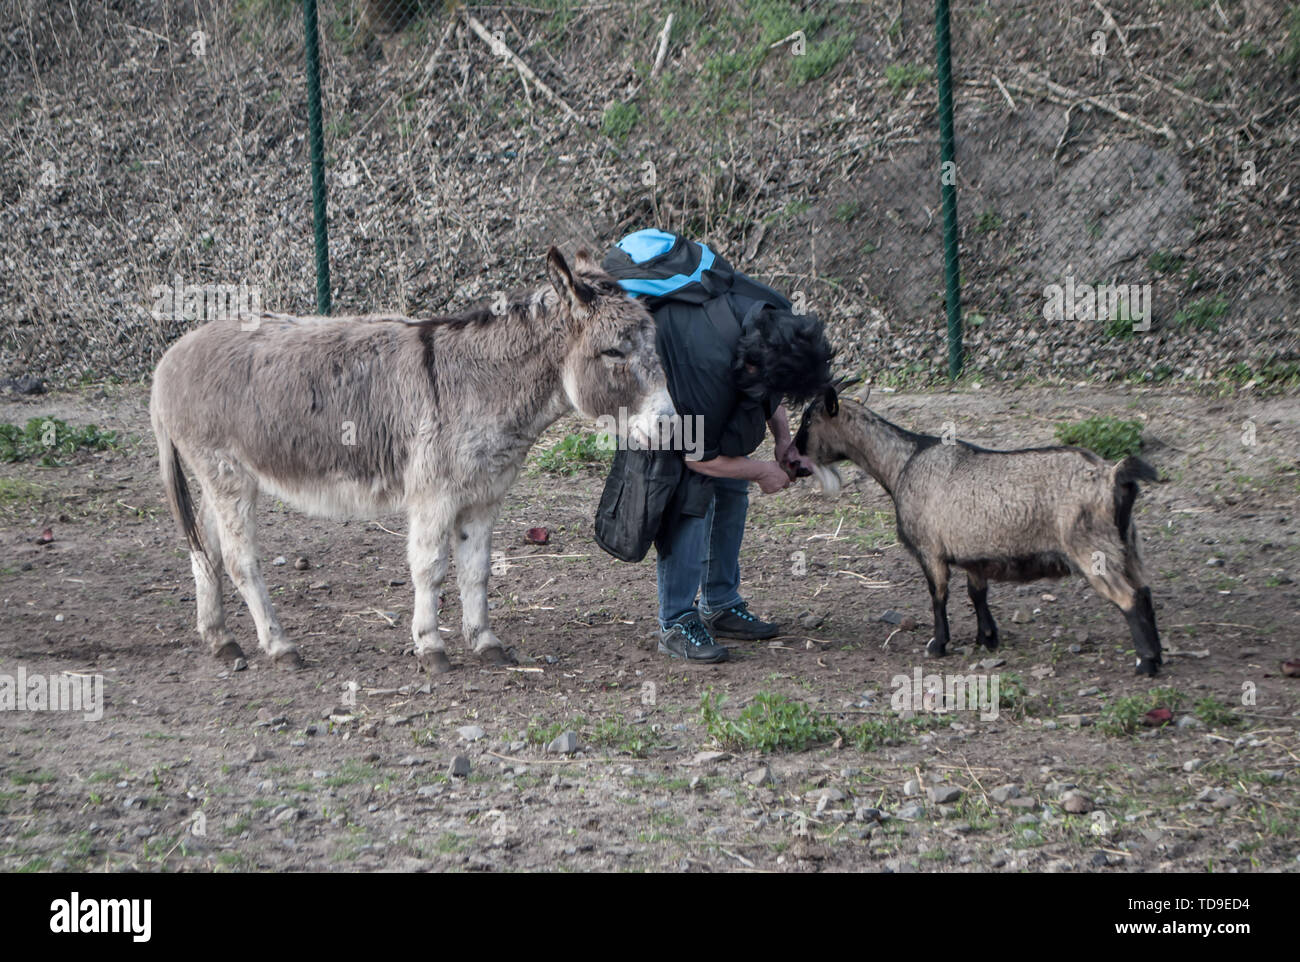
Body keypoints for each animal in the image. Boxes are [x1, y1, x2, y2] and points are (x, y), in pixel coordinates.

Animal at [795, 384, 1164, 676]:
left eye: (809, 420)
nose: (792, 455)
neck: (902, 464)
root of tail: (1113, 476)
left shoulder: (930, 550)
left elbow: (938, 595)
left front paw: (938, 644)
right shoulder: (974, 554)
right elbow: (977, 593)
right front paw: (986, 638)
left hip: (1092, 549)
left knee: (1129, 598)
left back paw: (1145, 663)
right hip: (1127, 544)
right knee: (1145, 592)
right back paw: (1157, 657)